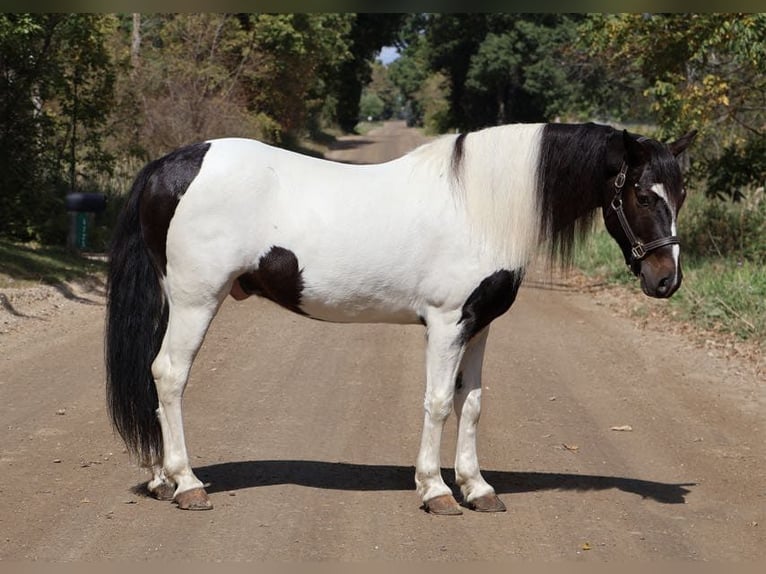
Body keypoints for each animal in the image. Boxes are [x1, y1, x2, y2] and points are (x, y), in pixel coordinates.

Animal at [105, 122, 700, 516]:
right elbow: (437, 403)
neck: (480, 206)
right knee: (170, 375)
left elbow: (472, 404)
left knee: (155, 376)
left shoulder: (479, 325)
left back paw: (161, 480)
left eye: (682, 192)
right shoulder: (446, 323)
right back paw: (187, 484)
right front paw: (436, 491)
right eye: (641, 193)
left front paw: (477, 488)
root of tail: (169, 165)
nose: (666, 280)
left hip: (176, 301)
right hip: (196, 300)